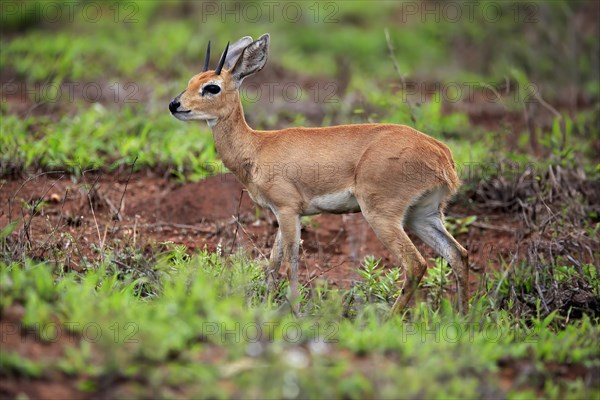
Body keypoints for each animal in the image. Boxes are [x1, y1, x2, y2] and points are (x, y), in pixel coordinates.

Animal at [169, 34, 468, 314]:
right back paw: (463, 317)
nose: (175, 105)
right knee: (458, 254)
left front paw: (294, 312)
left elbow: (290, 264)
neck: (256, 147)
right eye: (192, 80)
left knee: (416, 264)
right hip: (422, 215)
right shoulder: (285, 213)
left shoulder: (287, 210)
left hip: (381, 215)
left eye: (212, 87)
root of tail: (442, 155)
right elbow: (272, 263)